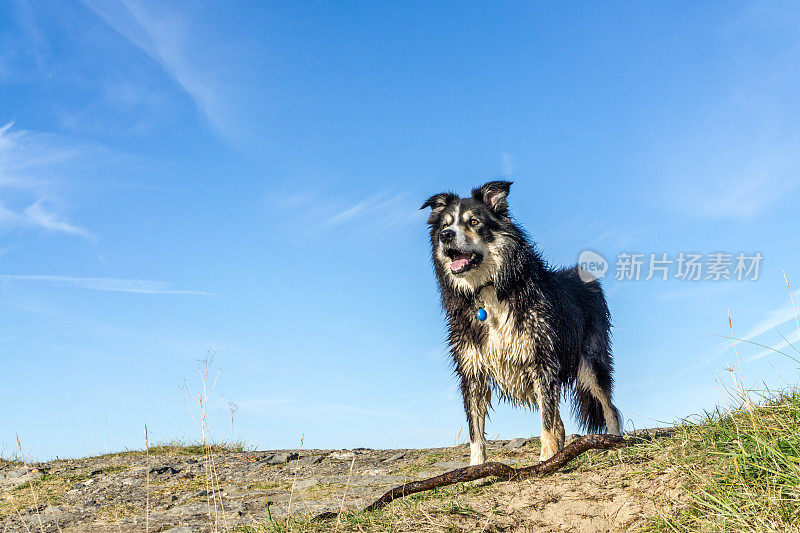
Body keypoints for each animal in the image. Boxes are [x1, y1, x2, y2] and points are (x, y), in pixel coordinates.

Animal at [422, 181, 620, 464]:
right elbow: (475, 430)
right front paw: (476, 468)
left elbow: (547, 420)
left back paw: (615, 442)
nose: (446, 236)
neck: (488, 289)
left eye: (474, 222)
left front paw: (547, 460)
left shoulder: (542, 358)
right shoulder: (472, 369)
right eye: (444, 225)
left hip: (591, 360)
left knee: (608, 405)